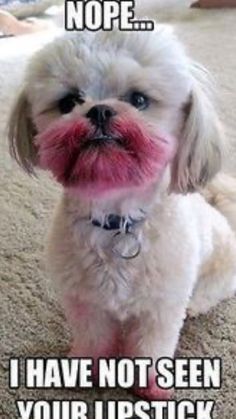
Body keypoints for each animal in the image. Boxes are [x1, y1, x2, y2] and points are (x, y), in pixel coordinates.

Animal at [7, 25, 236, 400]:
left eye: (139, 100)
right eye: (69, 102)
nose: (99, 110)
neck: (117, 221)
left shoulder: (160, 309)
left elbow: (151, 348)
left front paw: (151, 387)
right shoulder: (87, 304)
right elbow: (94, 339)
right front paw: (87, 371)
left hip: (219, 268)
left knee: (212, 292)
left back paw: (197, 303)